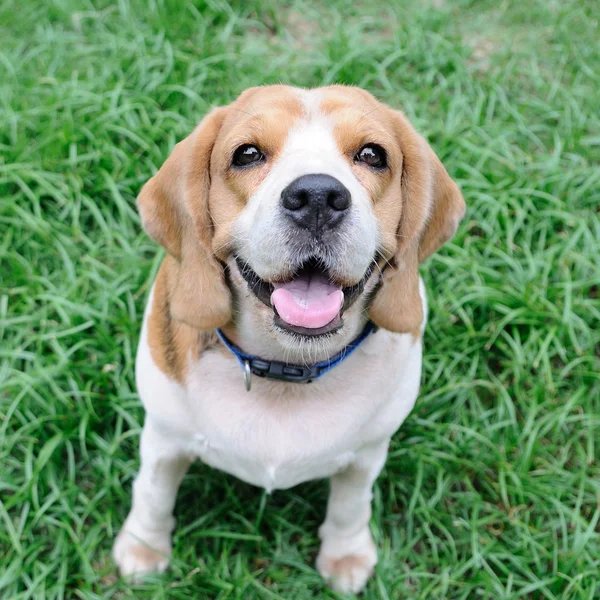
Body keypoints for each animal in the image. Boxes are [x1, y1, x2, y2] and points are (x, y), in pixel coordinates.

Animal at [115, 85, 466, 596]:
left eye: (372, 155)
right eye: (246, 154)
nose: (317, 196)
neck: (287, 371)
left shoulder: (368, 452)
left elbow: (351, 503)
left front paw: (345, 555)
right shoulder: (164, 435)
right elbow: (153, 491)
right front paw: (143, 549)